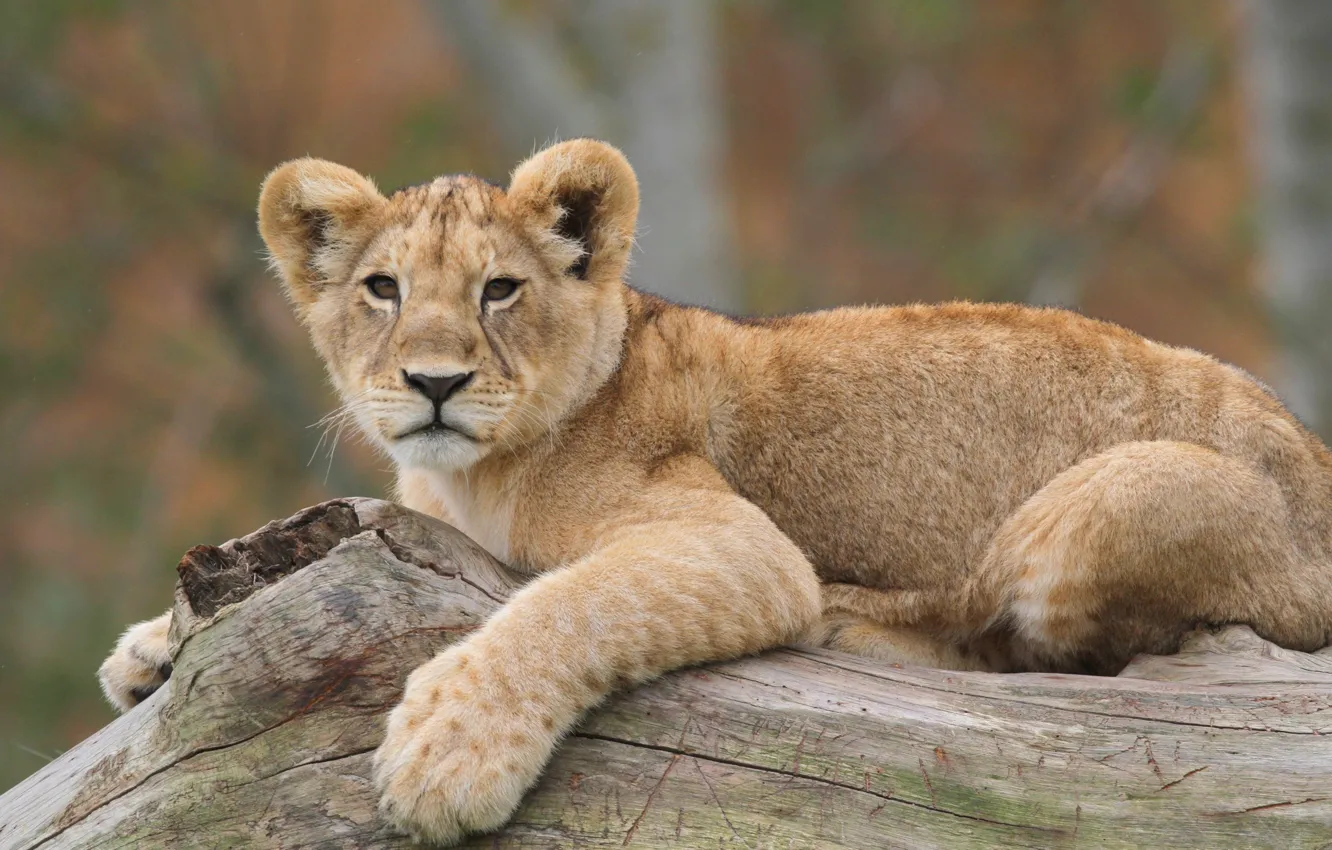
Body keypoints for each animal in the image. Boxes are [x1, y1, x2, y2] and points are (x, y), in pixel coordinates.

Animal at [99, 138, 1332, 844]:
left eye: (500, 291)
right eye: (382, 290)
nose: (435, 383)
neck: (477, 474)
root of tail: (1314, 460)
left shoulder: (735, 542)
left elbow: (566, 605)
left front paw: (446, 758)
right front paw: (152, 647)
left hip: (1094, 510)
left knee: (1072, 651)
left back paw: (861, 620)